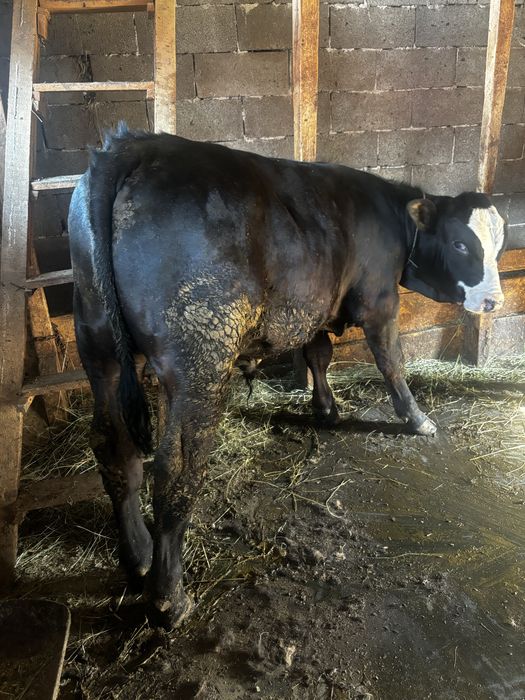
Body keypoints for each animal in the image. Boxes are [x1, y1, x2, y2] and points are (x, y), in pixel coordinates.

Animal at [68, 126, 506, 628]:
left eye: (498, 245)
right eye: (461, 244)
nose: (494, 301)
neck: (392, 215)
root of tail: (134, 146)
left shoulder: (317, 305)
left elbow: (318, 353)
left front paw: (326, 409)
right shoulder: (378, 300)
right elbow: (390, 361)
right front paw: (417, 419)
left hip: (98, 344)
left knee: (113, 446)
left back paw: (137, 556)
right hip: (199, 360)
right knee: (175, 471)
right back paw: (169, 597)